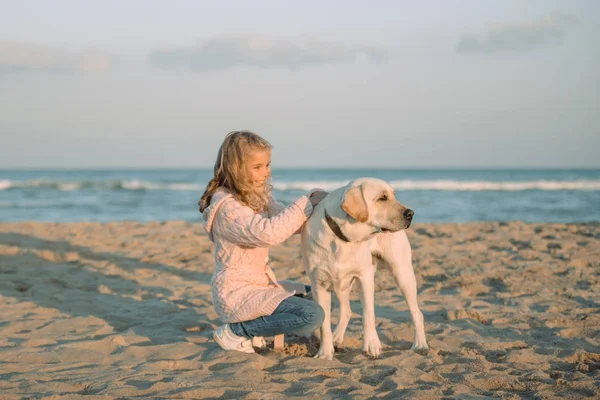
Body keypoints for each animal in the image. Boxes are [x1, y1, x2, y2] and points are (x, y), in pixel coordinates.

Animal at [302, 178, 428, 360]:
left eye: (394, 195)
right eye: (383, 198)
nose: (411, 213)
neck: (343, 238)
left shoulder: (365, 277)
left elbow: (369, 313)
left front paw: (371, 345)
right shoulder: (319, 284)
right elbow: (324, 323)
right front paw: (325, 353)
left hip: (402, 273)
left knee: (417, 313)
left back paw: (420, 344)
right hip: (341, 284)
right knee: (346, 311)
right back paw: (337, 338)